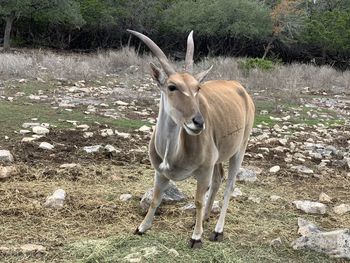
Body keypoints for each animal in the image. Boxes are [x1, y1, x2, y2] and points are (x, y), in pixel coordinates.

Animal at [129, 30, 254, 250]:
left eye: (197, 88)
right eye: (172, 86)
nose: (198, 122)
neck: (173, 154)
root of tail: (241, 90)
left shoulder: (203, 171)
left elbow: (197, 201)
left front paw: (196, 237)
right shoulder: (160, 172)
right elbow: (155, 199)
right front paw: (142, 227)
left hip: (239, 150)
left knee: (229, 186)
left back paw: (217, 230)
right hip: (218, 158)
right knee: (218, 179)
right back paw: (204, 219)